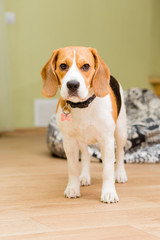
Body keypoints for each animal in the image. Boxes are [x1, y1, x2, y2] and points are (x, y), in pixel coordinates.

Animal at [41, 46, 127, 202]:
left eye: (86, 66)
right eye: (63, 66)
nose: (72, 84)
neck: (82, 106)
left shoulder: (107, 140)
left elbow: (107, 170)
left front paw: (109, 192)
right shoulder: (69, 141)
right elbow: (73, 168)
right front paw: (73, 188)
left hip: (121, 132)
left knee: (120, 152)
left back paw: (120, 174)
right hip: (81, 140)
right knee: (86, 155)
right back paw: (84, 176)